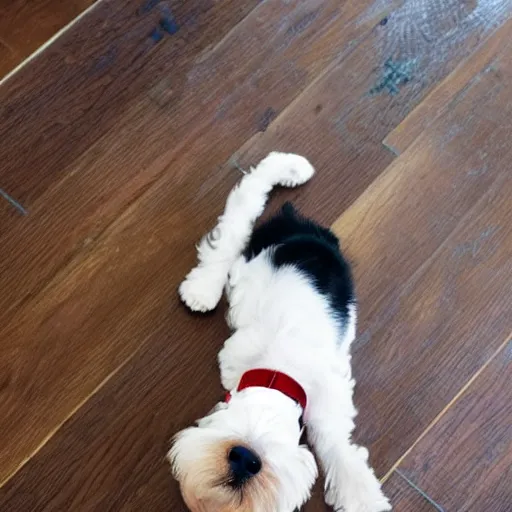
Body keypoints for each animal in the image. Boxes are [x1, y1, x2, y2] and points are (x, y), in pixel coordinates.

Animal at [170, 152, 390, 512]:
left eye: (278, 437)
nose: (244, 459)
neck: (277, 371)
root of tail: (292, 222)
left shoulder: (328, 404)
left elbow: (337, 446)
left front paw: (360, 496)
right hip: (244, 259)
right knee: (232, 230)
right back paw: (202, 288)